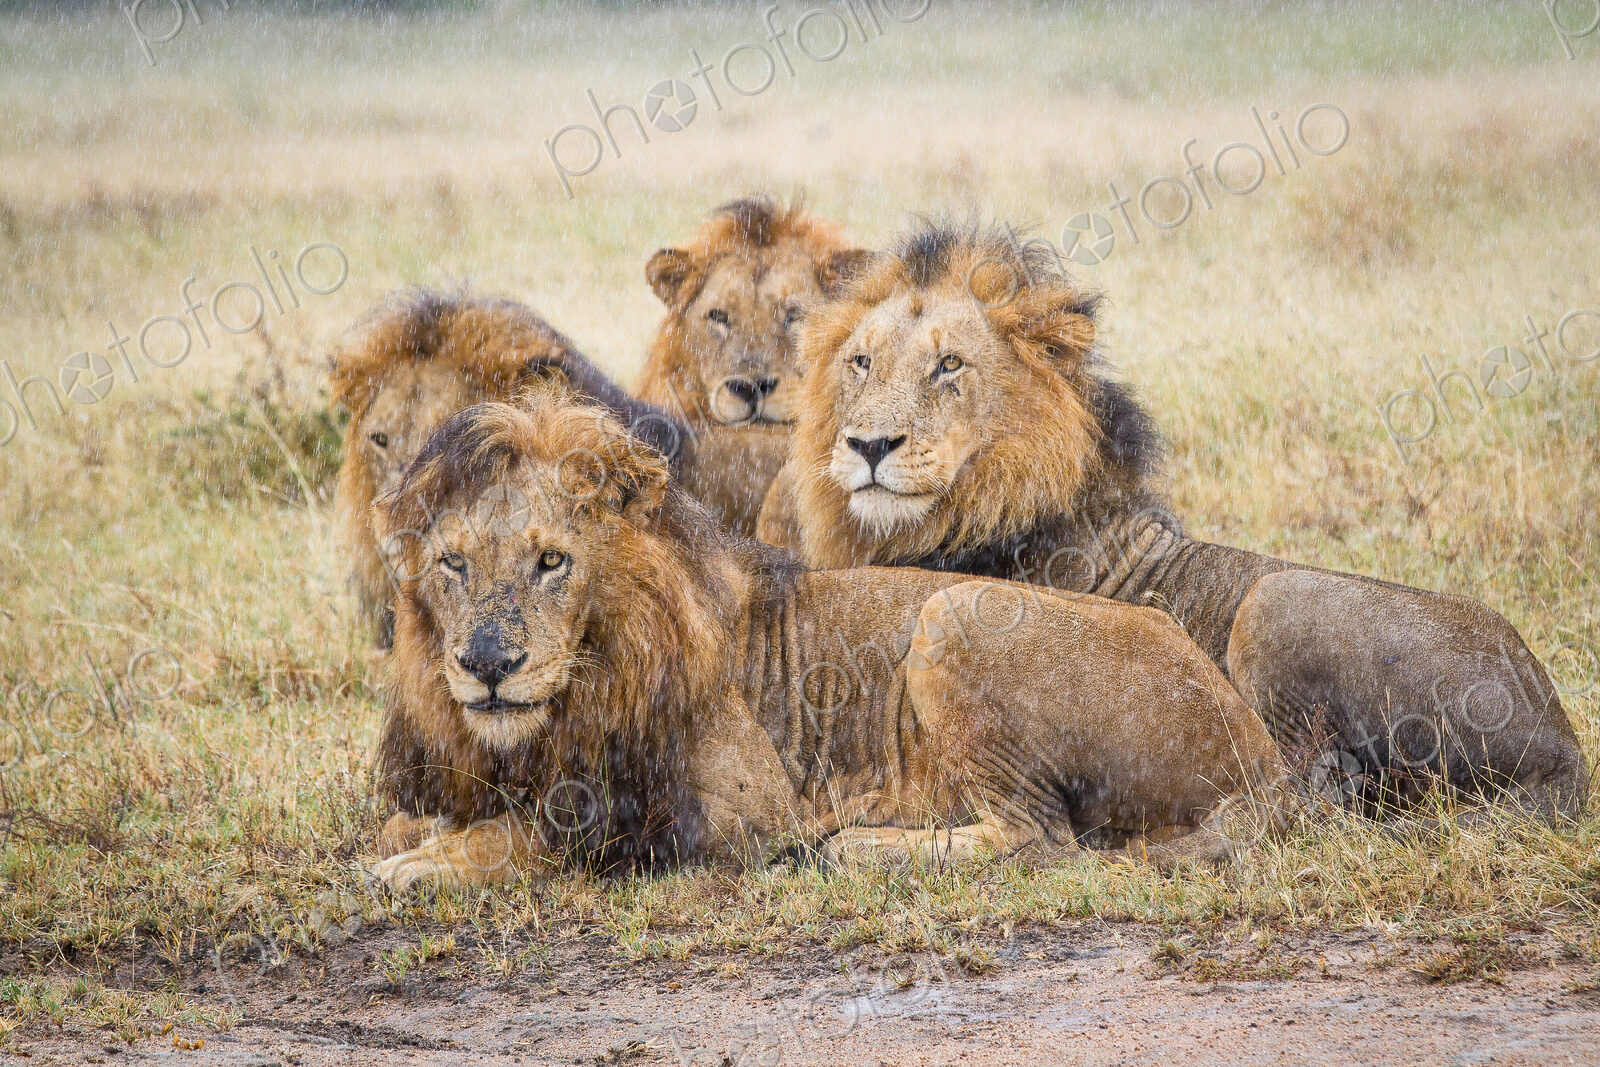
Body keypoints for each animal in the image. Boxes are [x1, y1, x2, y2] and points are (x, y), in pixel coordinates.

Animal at [366, 393, 1289, 892]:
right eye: (453, 563)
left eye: (551, 560)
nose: (486, 665)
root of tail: (1258, 751)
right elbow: (430, 819)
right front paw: (416, 844)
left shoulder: (744, 808)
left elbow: (552, 830)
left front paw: (426, 865)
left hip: (950, 613)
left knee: (1038, 840)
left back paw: (862, 847)